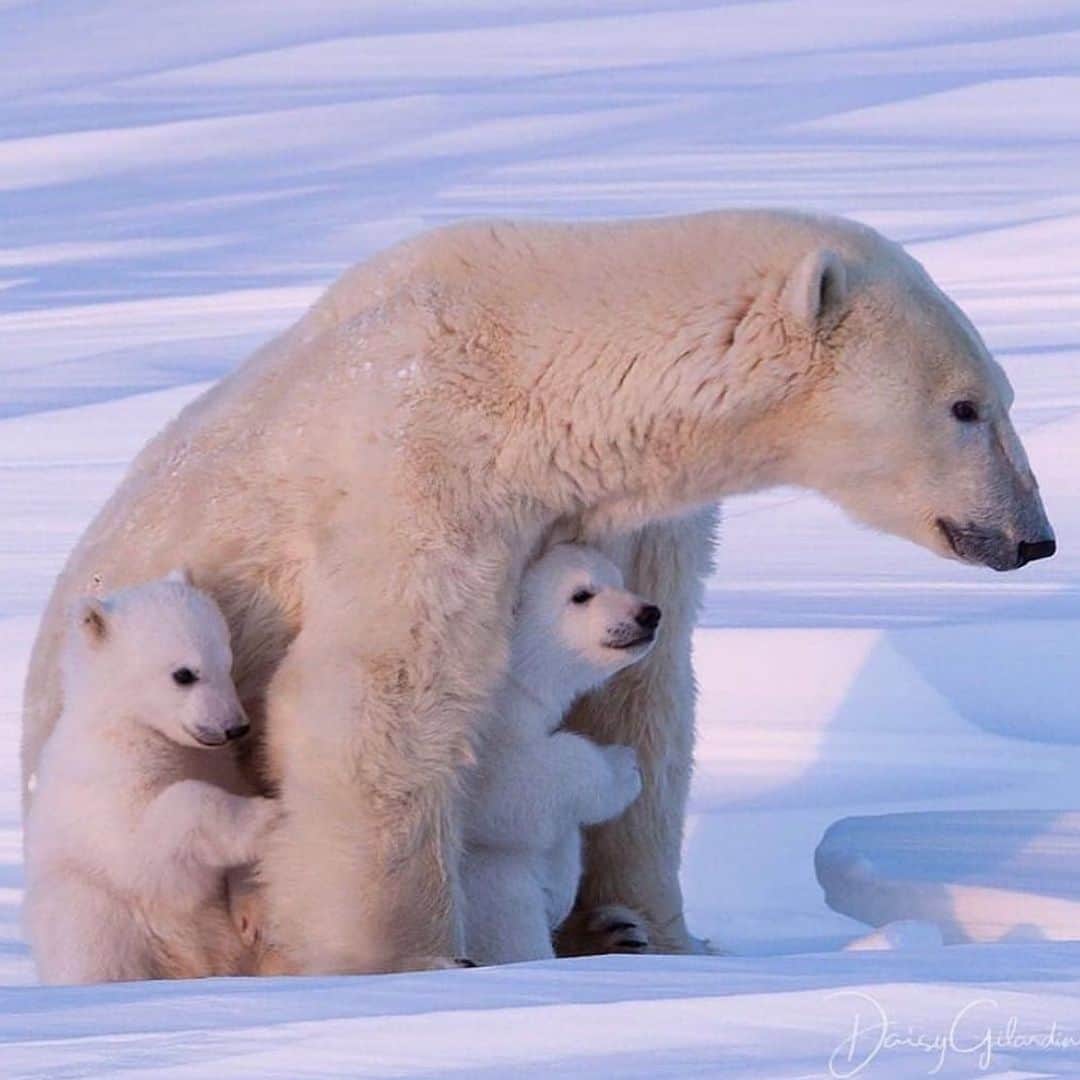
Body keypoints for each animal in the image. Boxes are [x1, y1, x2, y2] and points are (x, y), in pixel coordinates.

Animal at [22, 571, 278, 985]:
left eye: (227, 661)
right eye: (184, 674)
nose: (236, 727)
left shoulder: (218, 763)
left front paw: (252, 909)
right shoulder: (107, 781)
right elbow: (145, 841)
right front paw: (268, 816)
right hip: (97, 912)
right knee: (92, 943)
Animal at [463, 542, 655, 965]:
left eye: (618, 579)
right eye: (581, 594)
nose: (648, 613)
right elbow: (508, 785)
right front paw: (623, 767)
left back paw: (621, 931)